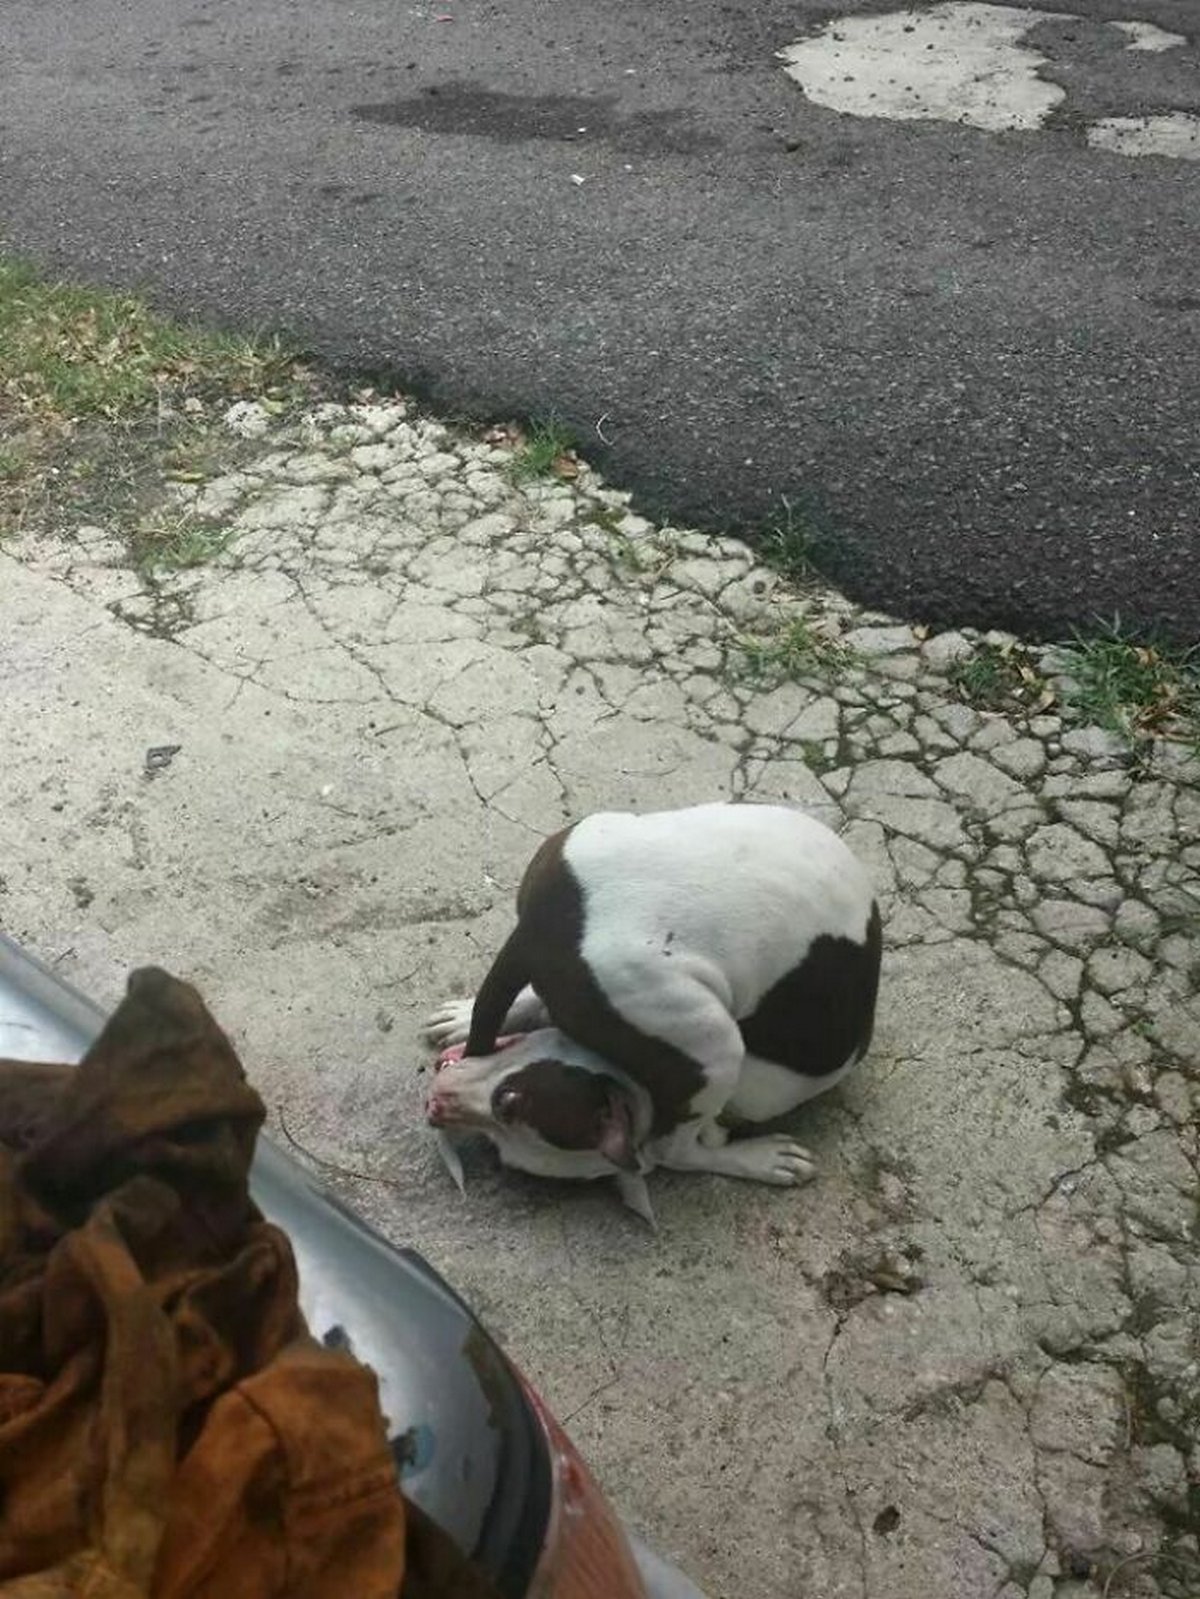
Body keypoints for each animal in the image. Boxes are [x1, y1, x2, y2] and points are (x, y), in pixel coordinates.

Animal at [422, 805, 883, 1215]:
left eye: (509, 1102)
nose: (438, 1104)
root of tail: (539, 928)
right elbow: (683, 1148)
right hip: (713, 1044)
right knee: (678, 1150)